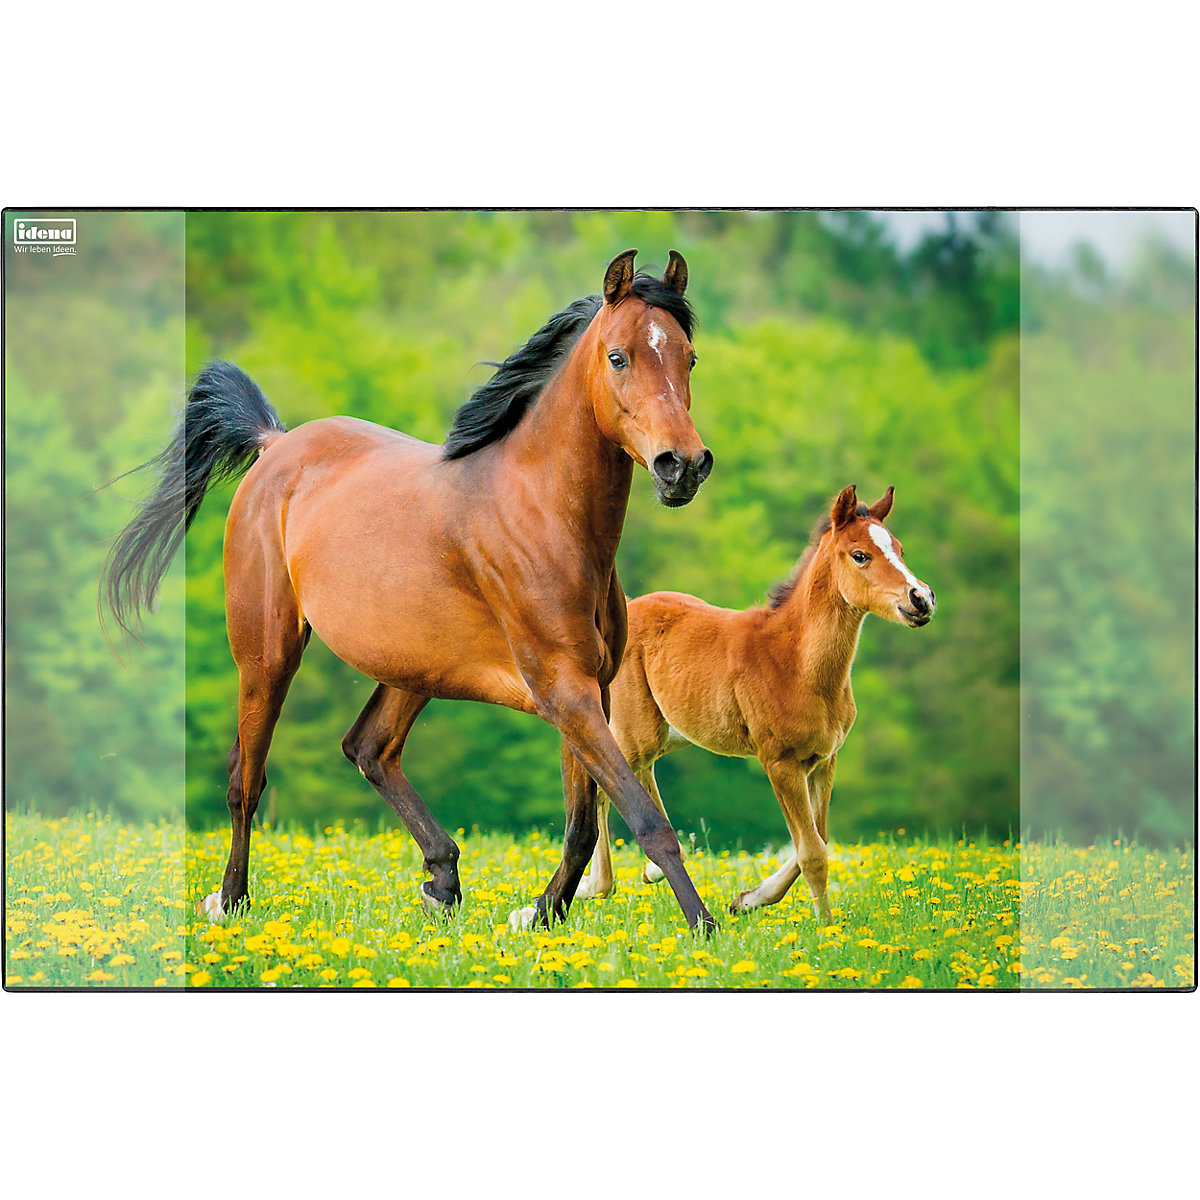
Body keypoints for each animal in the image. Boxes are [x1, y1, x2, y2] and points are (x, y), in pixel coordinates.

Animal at [102, 249, 720, 933]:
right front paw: (705, 927)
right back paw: (230, 899)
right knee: (248, 777)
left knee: (368, 747)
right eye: (618, 356)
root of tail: (275, 443)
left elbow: (583, 824)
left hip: (413, 666)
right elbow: (646, 820)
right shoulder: (565, 690)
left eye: (689, 358)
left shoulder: (589, 690)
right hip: (268, 654)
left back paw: (442, 878)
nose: (682, 466)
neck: (546, 517)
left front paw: (539, 913)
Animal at [575, 484, 935, 920]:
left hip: (666, 733)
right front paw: (827, 928)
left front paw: (749, 898)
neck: (797, 663)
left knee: (633, 776)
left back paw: (646, 871)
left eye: (899, 548)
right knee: (605, 778)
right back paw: (595, 885)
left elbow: (818, 838)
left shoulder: (824, 761)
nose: (921, 599)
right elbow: (812, 852)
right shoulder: (780, 762)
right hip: (637, 730)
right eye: (860, 554)